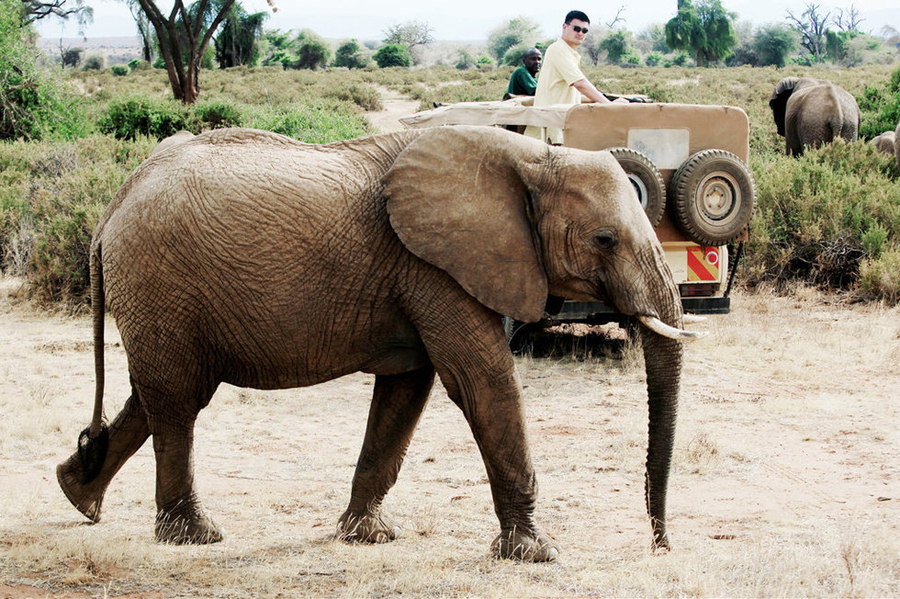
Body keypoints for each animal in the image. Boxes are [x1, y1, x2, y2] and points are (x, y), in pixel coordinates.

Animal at [58, 126, 704, 564]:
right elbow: (481, 384)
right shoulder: (437, 268)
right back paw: (195, 537)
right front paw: (537, 554)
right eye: (604, 239)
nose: (660, 545)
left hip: (159, 295)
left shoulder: (426, 274)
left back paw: (77, 496)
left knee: (155, 396)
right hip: (158, 279)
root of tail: (113, 205)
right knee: (177, 401)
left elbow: (405, 392)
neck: (532, 156)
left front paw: (365, 537)